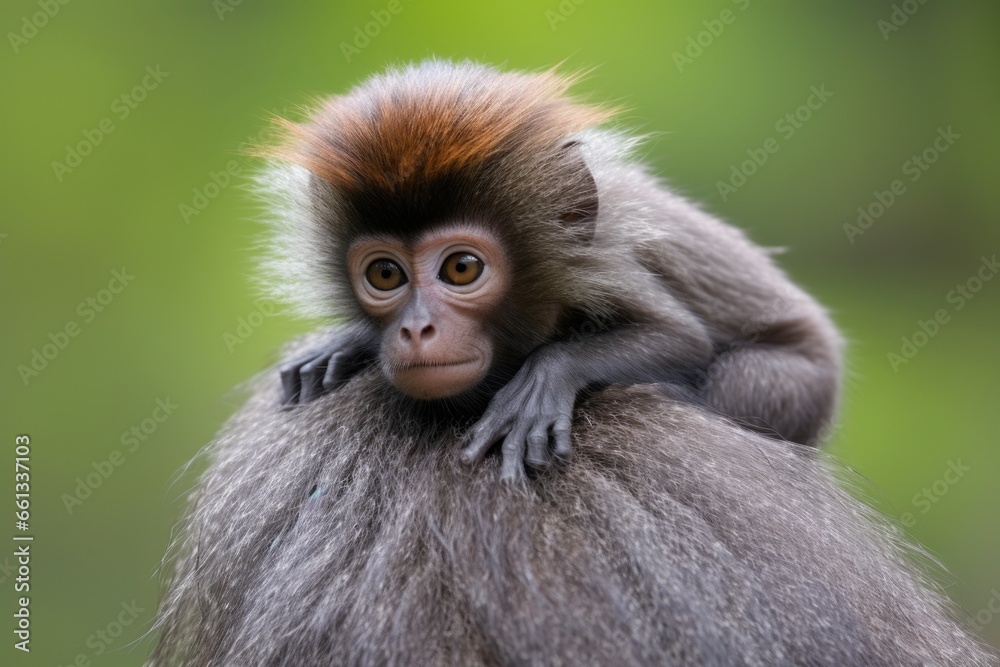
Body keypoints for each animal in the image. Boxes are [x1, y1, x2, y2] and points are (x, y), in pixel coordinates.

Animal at [269, 60, 844, 484]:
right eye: (385, 275)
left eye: (461, 268)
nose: (416, 328)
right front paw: (348, 343)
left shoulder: (605, 268)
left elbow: (681, 338)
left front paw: (547, 377)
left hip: (799, 385)